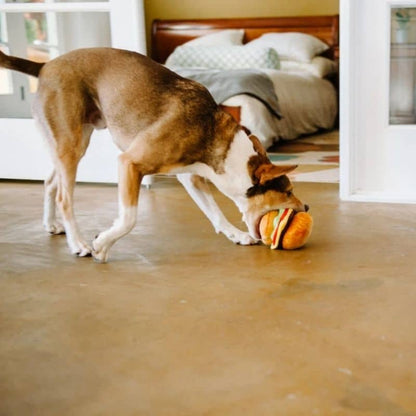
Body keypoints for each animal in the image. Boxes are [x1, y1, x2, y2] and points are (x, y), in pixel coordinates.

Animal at [0, 47, 306, 262]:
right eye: (288, 191)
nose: (306, 208)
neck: (212, 132)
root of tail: (45, 66)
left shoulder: (191, 177)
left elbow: (214, 211)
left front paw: (236, 235)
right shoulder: (129, 164)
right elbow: (129, 218)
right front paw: (102, 244)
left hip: (74, 143)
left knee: (51, 181)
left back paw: (51, 224)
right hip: (71, 144)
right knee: (65, 197)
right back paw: (79, 244)